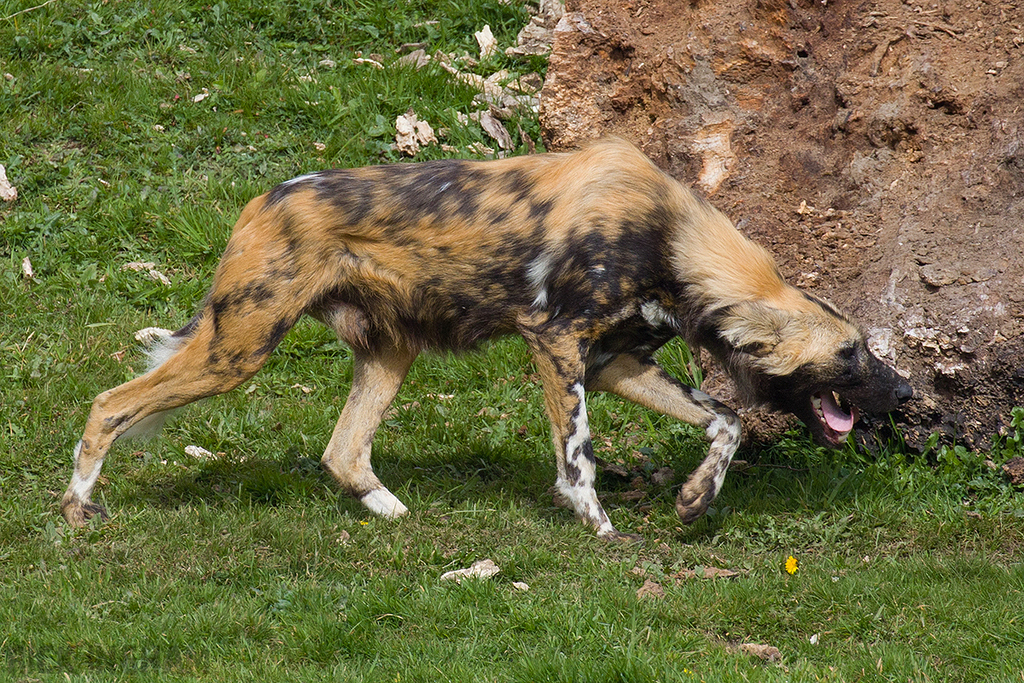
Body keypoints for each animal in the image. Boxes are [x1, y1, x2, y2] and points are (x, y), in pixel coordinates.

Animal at [64, 137, 913, 540]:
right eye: (853, 354)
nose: (905, 390)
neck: (673, 241)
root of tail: (260, 201)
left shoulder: (615, 363)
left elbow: (726, 420)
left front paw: (696, 497)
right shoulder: (557, 342)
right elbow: (579, 453)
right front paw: (594, 524)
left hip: (388, 352)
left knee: (343, 449)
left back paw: (388, 509)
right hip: (238, 349)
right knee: (108, 403)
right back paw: (78, 509)